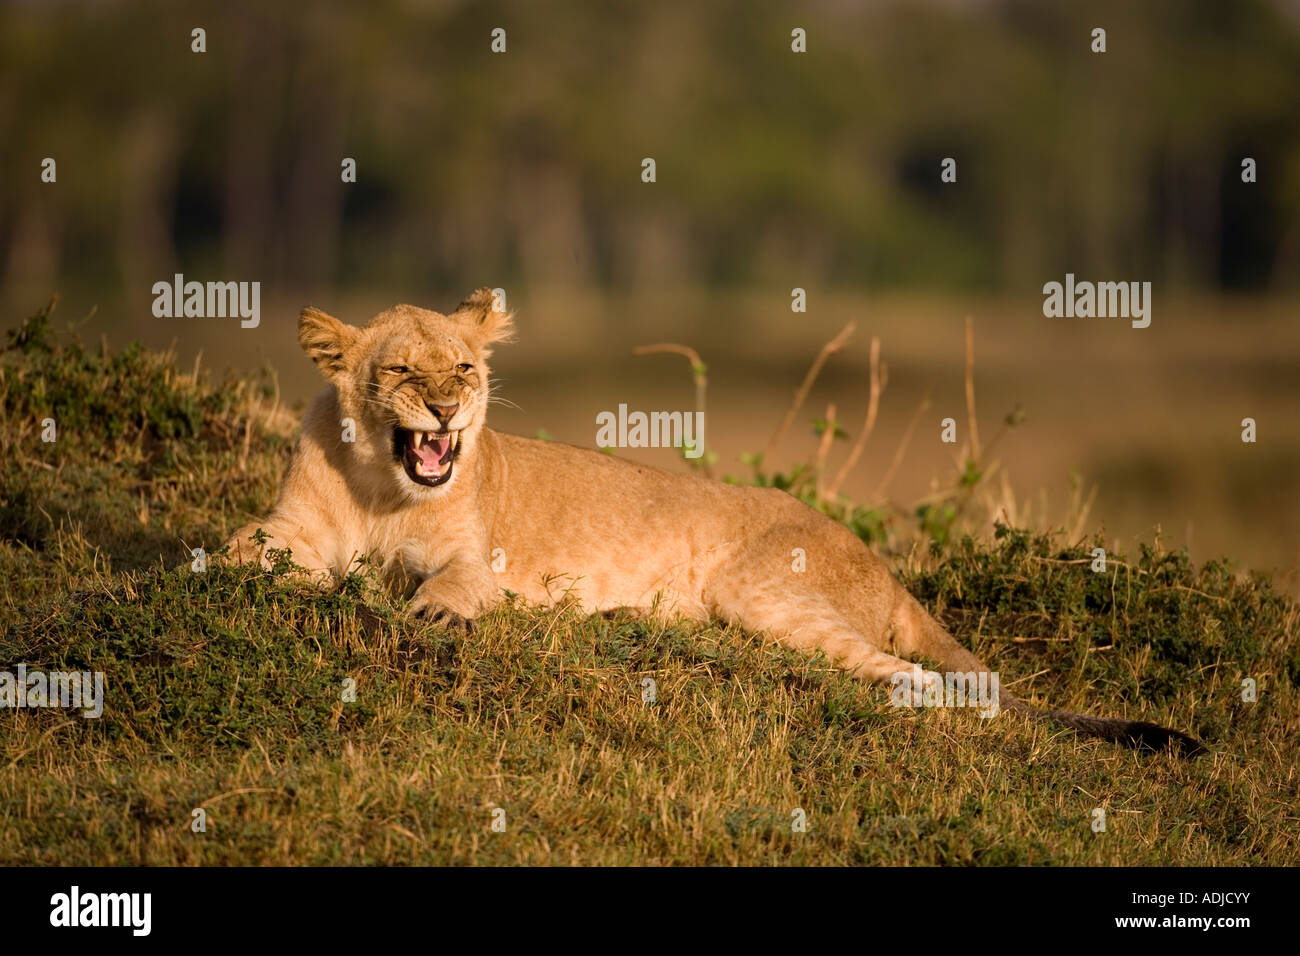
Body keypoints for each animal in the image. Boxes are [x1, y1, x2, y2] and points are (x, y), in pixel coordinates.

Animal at [225, 288, 1203, 756]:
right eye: (399, 371)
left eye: (464, 366)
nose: (448, 409)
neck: (381, 485)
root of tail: (884, 567)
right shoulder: (295, 527)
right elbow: (244, 548)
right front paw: (223, 568)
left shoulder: (477, 556)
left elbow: (456, 583)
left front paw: (428, 611)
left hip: (761, 590)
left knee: (919, 679)